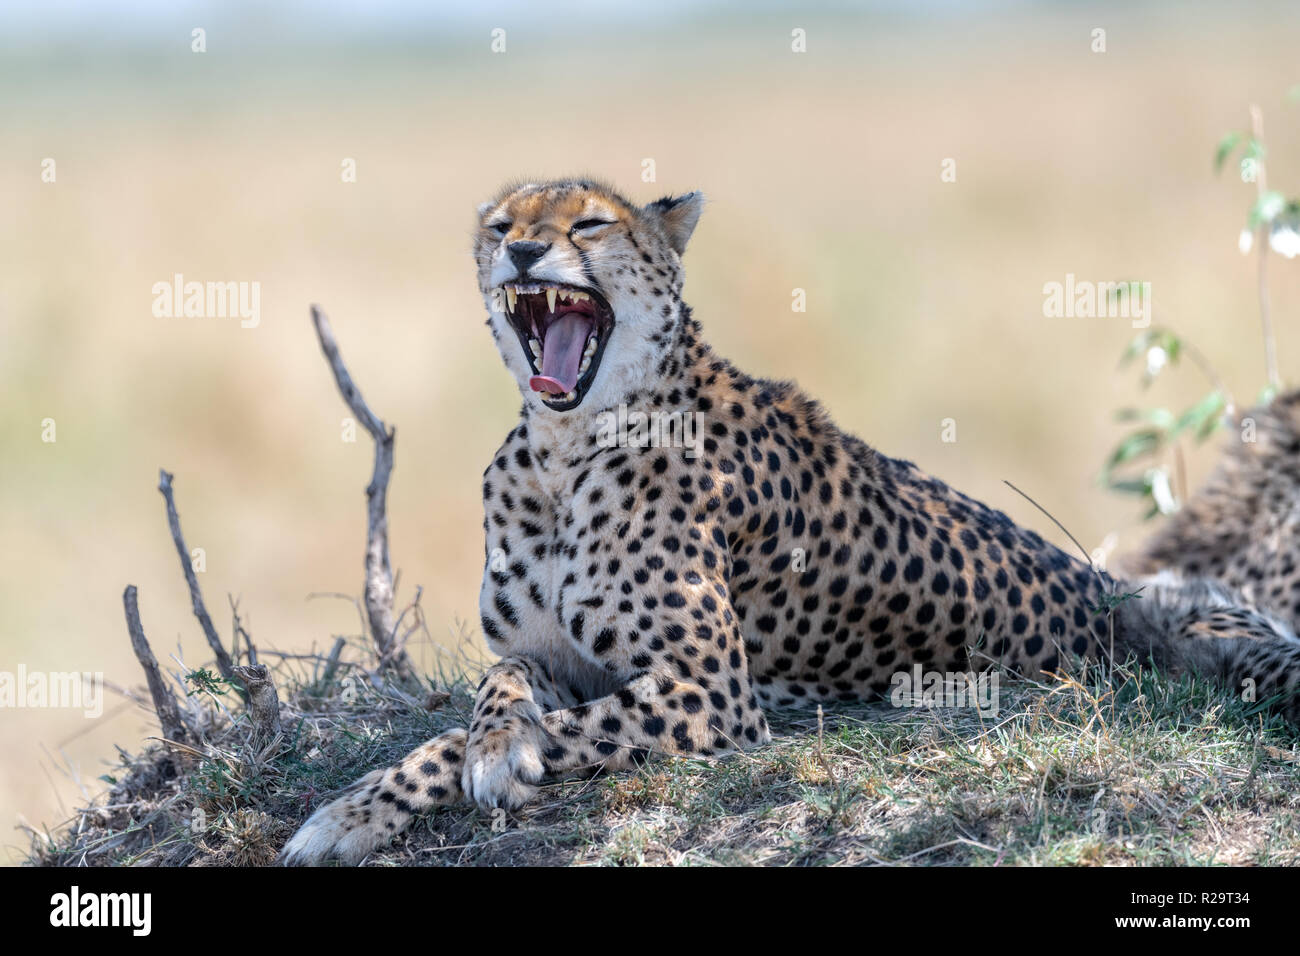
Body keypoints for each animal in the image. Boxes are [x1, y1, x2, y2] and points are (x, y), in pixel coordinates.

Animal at [282, 179, 1300, 868]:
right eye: (501, 225)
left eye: (588, 223)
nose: (523, 254)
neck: (564, 448)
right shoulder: (556, 656)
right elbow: (492, 687)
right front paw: (381, 799)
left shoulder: (709, 694)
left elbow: (504, 733)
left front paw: (472, 766)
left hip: (1220, 636)